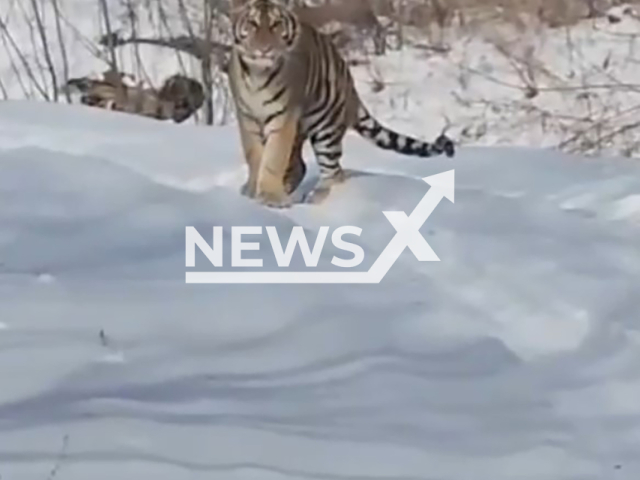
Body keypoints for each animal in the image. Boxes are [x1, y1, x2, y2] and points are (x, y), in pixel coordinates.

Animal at [228, 0, 455, 208]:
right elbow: (254, 155)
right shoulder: (247, 118)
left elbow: (274, 158)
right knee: (300, 165)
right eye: (253, 24)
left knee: (334, 172)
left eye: (276, 25)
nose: (264, 48)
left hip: (325, 127)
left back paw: (319, 199)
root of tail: (349, 80)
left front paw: (270, 196)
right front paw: (252, 190)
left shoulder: (284, 119)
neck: (258, 74)